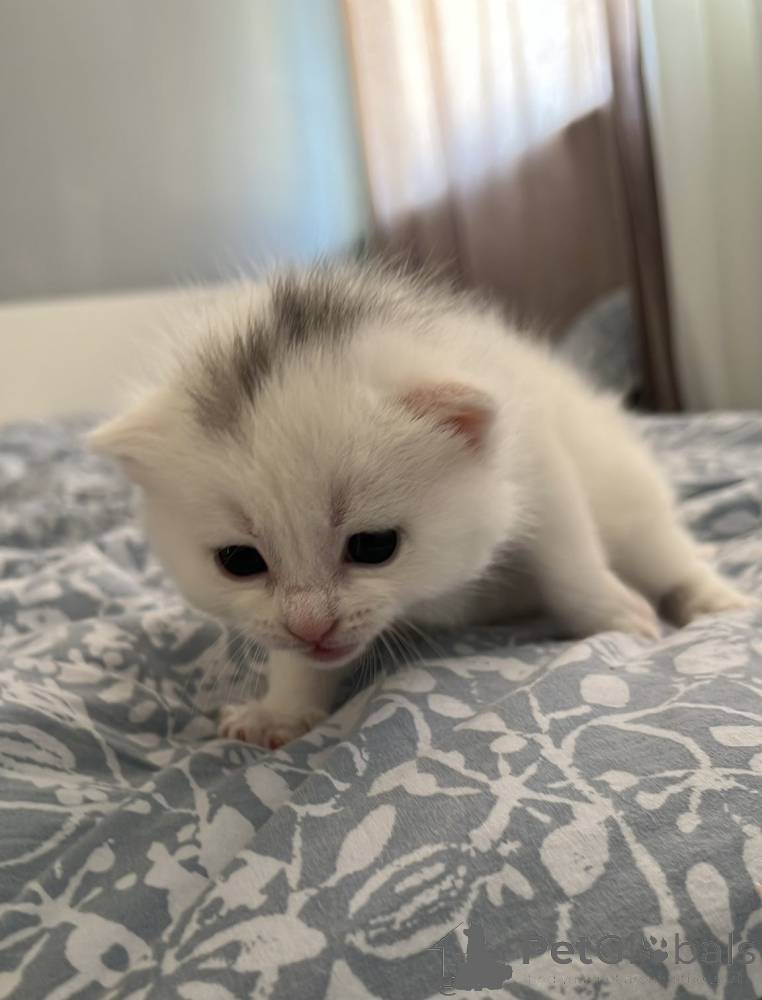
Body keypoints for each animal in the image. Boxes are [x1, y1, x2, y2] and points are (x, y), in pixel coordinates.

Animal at [89, 260, 756, 748]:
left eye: (373, 547)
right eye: (240, 562)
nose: (312, 626)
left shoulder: (538, 463)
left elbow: (569, 557)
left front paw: (612, 616)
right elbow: (292, 657)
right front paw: (282, 709)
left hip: (626, 488)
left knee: (661, 547)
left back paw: (711, 598)